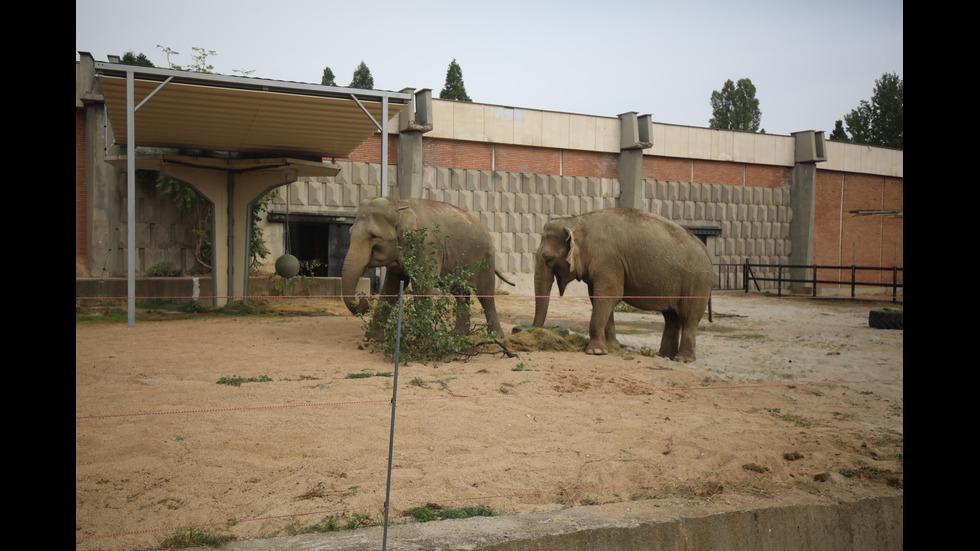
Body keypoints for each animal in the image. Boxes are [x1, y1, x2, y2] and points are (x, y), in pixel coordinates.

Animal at [338, 196, 510, 338]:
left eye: (374, 236)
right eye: (350, 232)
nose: (362, 299)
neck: (398, 203)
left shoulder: (427, 246)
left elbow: (423, 285)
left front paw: (423, 340)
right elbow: (391, 287)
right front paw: (373, 339)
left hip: (486, 260)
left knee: (485, 295)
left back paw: (496, 337)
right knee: (460, 293)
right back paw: (457, 334)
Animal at [532, 208, 716, 362]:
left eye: (548, 259)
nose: (536, 333)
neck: (577, 220)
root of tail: (706, 250)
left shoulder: (608, 260)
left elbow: (608, 296)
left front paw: (595, 352)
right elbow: (598, 299)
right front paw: (612, 348)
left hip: (697, 283)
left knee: (689, 317)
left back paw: (682, 360)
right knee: (671, 317)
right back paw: (665, 356)